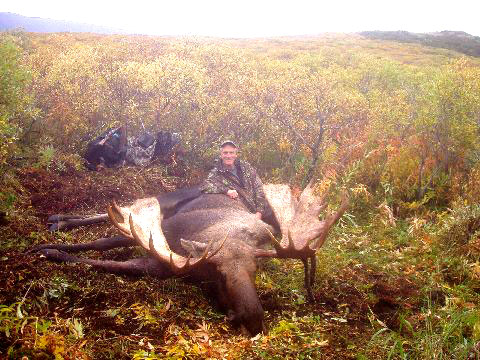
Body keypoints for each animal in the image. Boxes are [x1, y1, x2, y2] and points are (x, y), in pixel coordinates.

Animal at [32, 183, 348, 334]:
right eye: (218, 273)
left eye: (256, 269)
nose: (254, 318)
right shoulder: (165, 231)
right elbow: (103, 243)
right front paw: (45, 248)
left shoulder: (167, 263)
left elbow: (122, 264)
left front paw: (50, 250)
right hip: (168, 201)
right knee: (122, 210)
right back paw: (59, 220)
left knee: (121, 213)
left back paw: (59, 220)